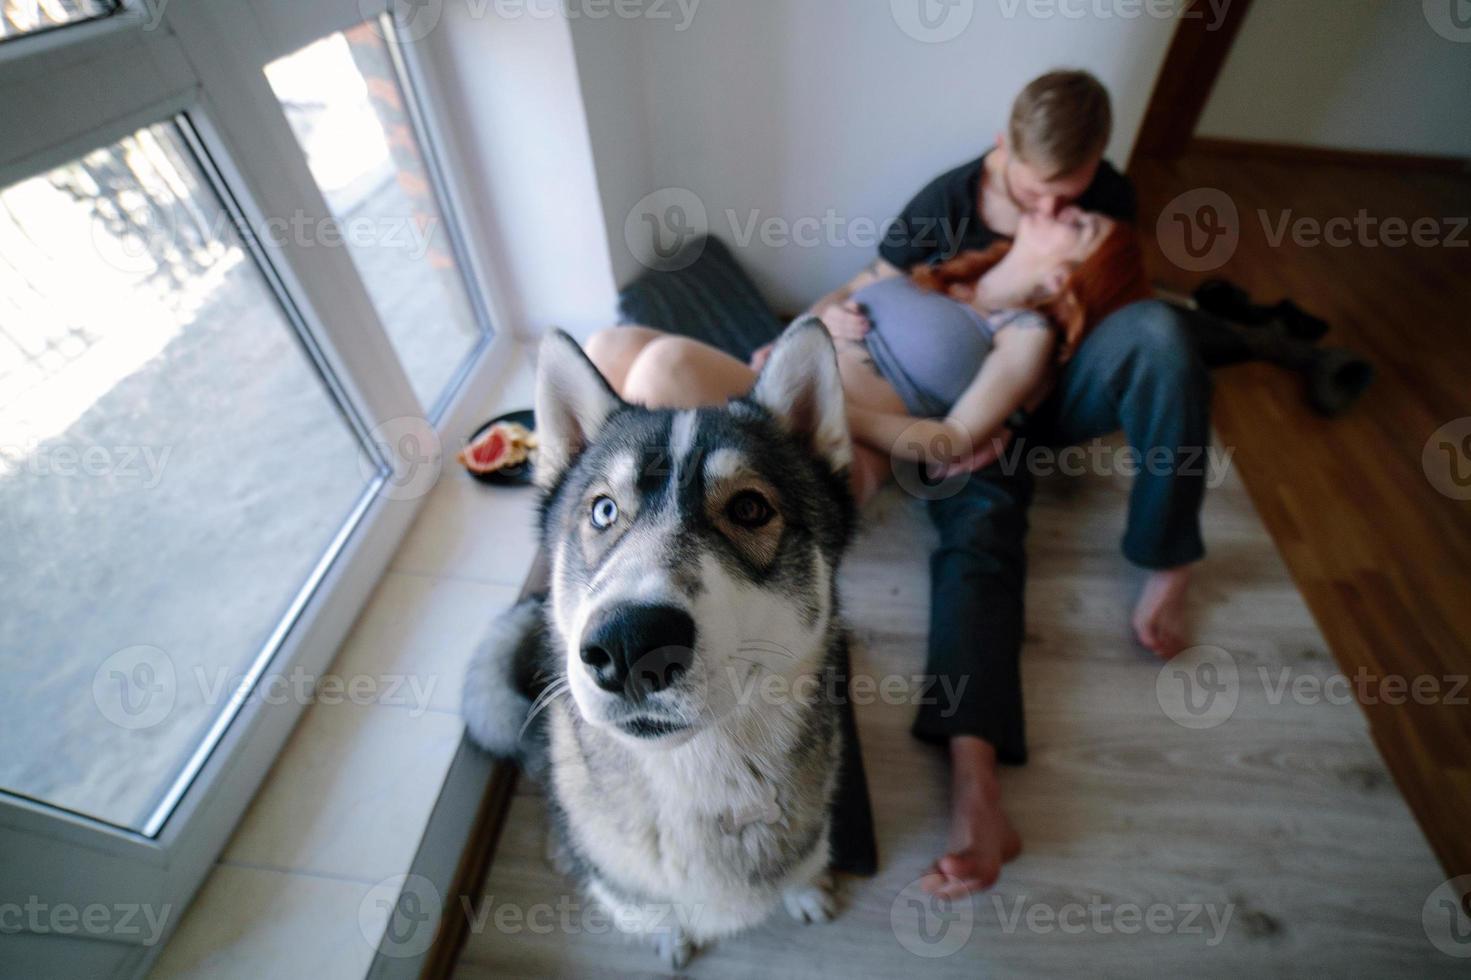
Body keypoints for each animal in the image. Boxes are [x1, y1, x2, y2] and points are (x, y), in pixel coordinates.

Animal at [464, 320, 859, 959]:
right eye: (603, 511)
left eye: (750, 508)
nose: (628, 643)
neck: (697, 775)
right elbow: (651, 909)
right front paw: (670, 936)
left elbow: (802, 866)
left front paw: (804, 890)